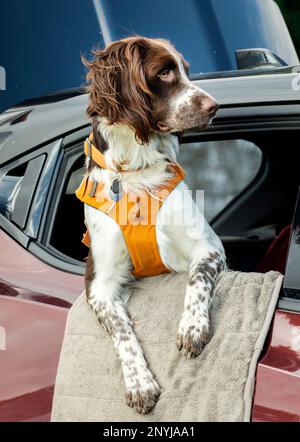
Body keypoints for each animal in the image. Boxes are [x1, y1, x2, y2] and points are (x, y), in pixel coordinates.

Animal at [78, 36, 226, 412]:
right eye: (164, 72)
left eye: (186, 70)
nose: (215, 106)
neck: (135, 170)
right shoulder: (98, 284)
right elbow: (121, 331)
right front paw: (139, 383)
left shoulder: (208, 246)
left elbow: (196, 280)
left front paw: (192, 327)